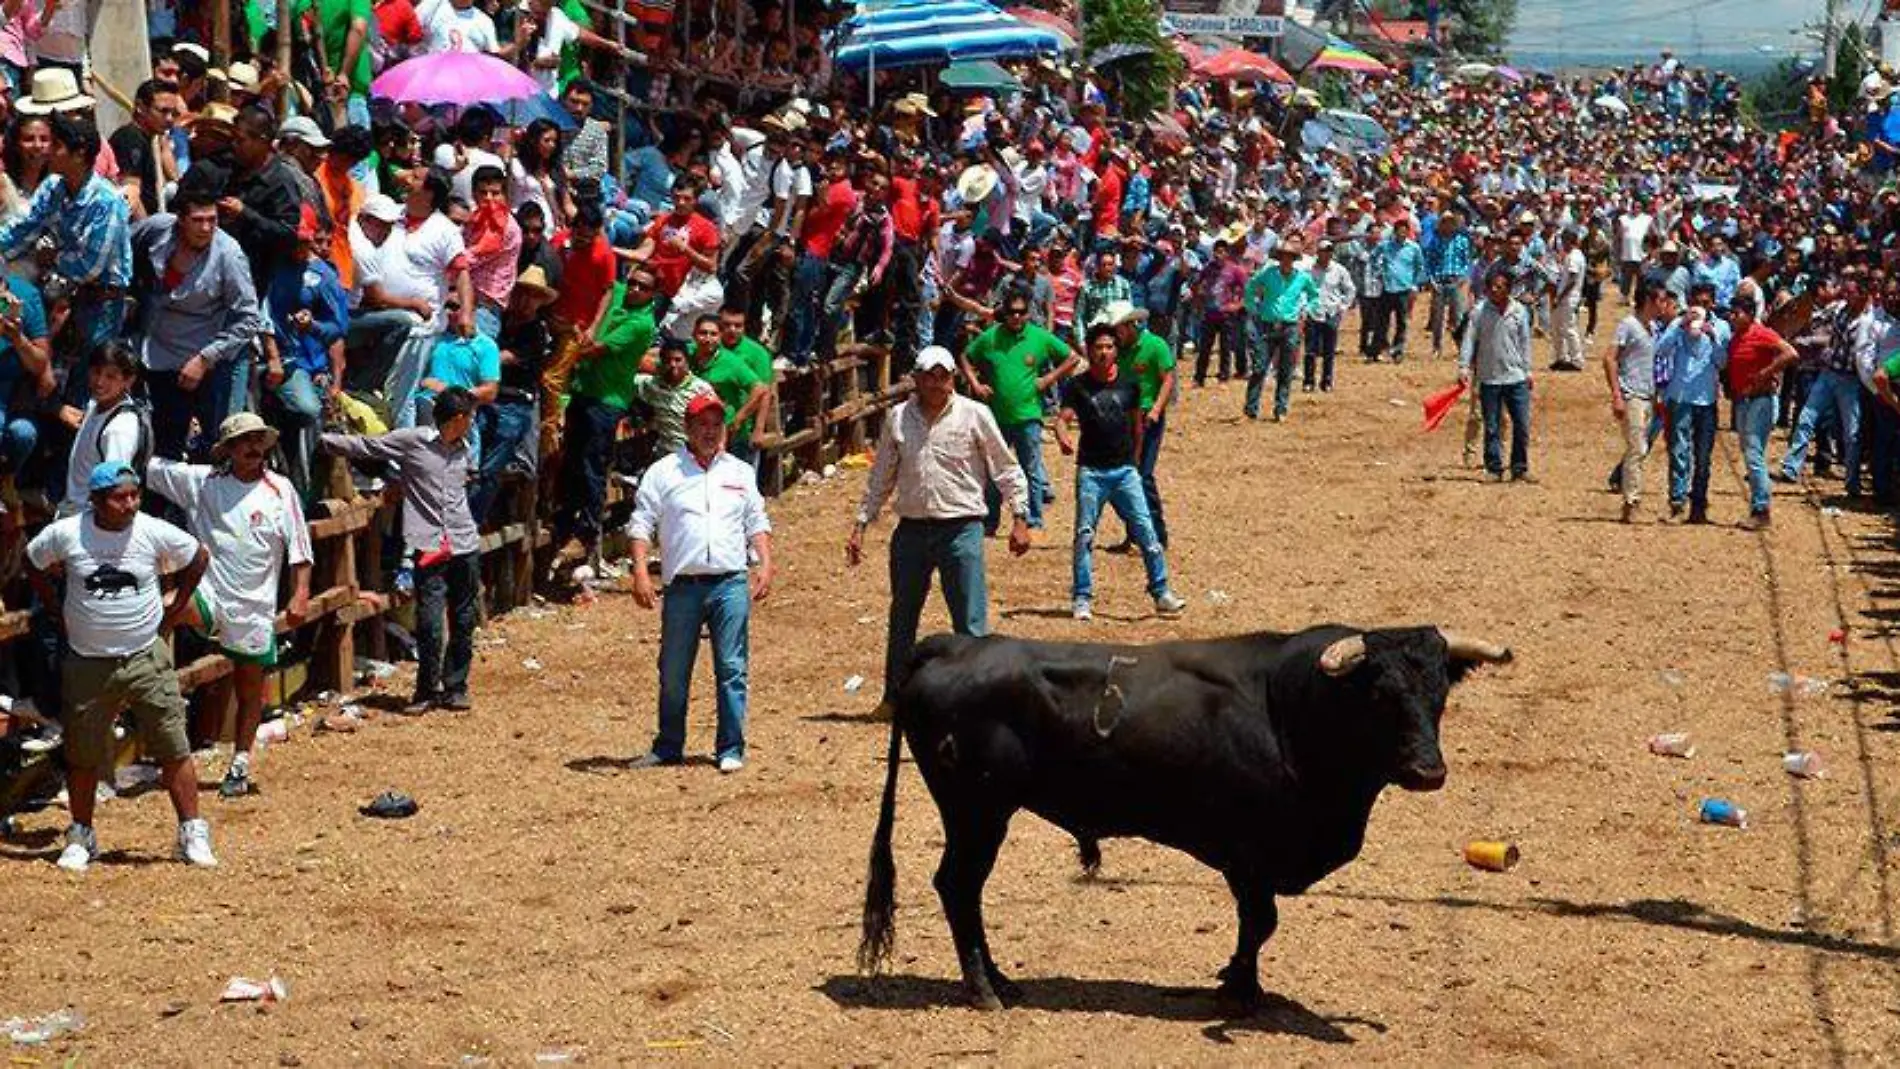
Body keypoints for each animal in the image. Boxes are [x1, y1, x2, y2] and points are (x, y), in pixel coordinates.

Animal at [862, 622, 1512, 1010]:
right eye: (1380, 694)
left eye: (1439, 695)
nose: (1428, 771)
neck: (1291, 710)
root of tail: (954, 644)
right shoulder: (1248, 856)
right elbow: (1260, 922)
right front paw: (1242, 991)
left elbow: (1258, 925)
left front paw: (1235, 979)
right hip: (977, 813)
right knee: (958, 887)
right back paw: (983, 988)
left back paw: (999, 981)